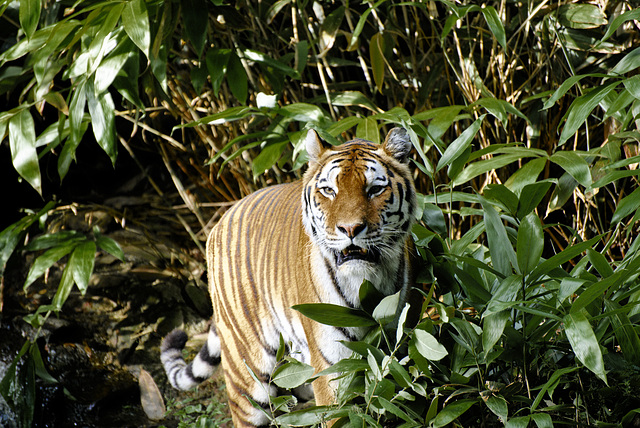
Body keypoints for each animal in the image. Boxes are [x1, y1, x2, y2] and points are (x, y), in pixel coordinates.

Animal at [162, 127, 418, 428]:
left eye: (375, 189)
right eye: (329, 190)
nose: (350, 228)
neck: (367, 283)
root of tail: (222, 219)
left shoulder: (399, 349)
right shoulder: (333, 367)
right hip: (248, 377)